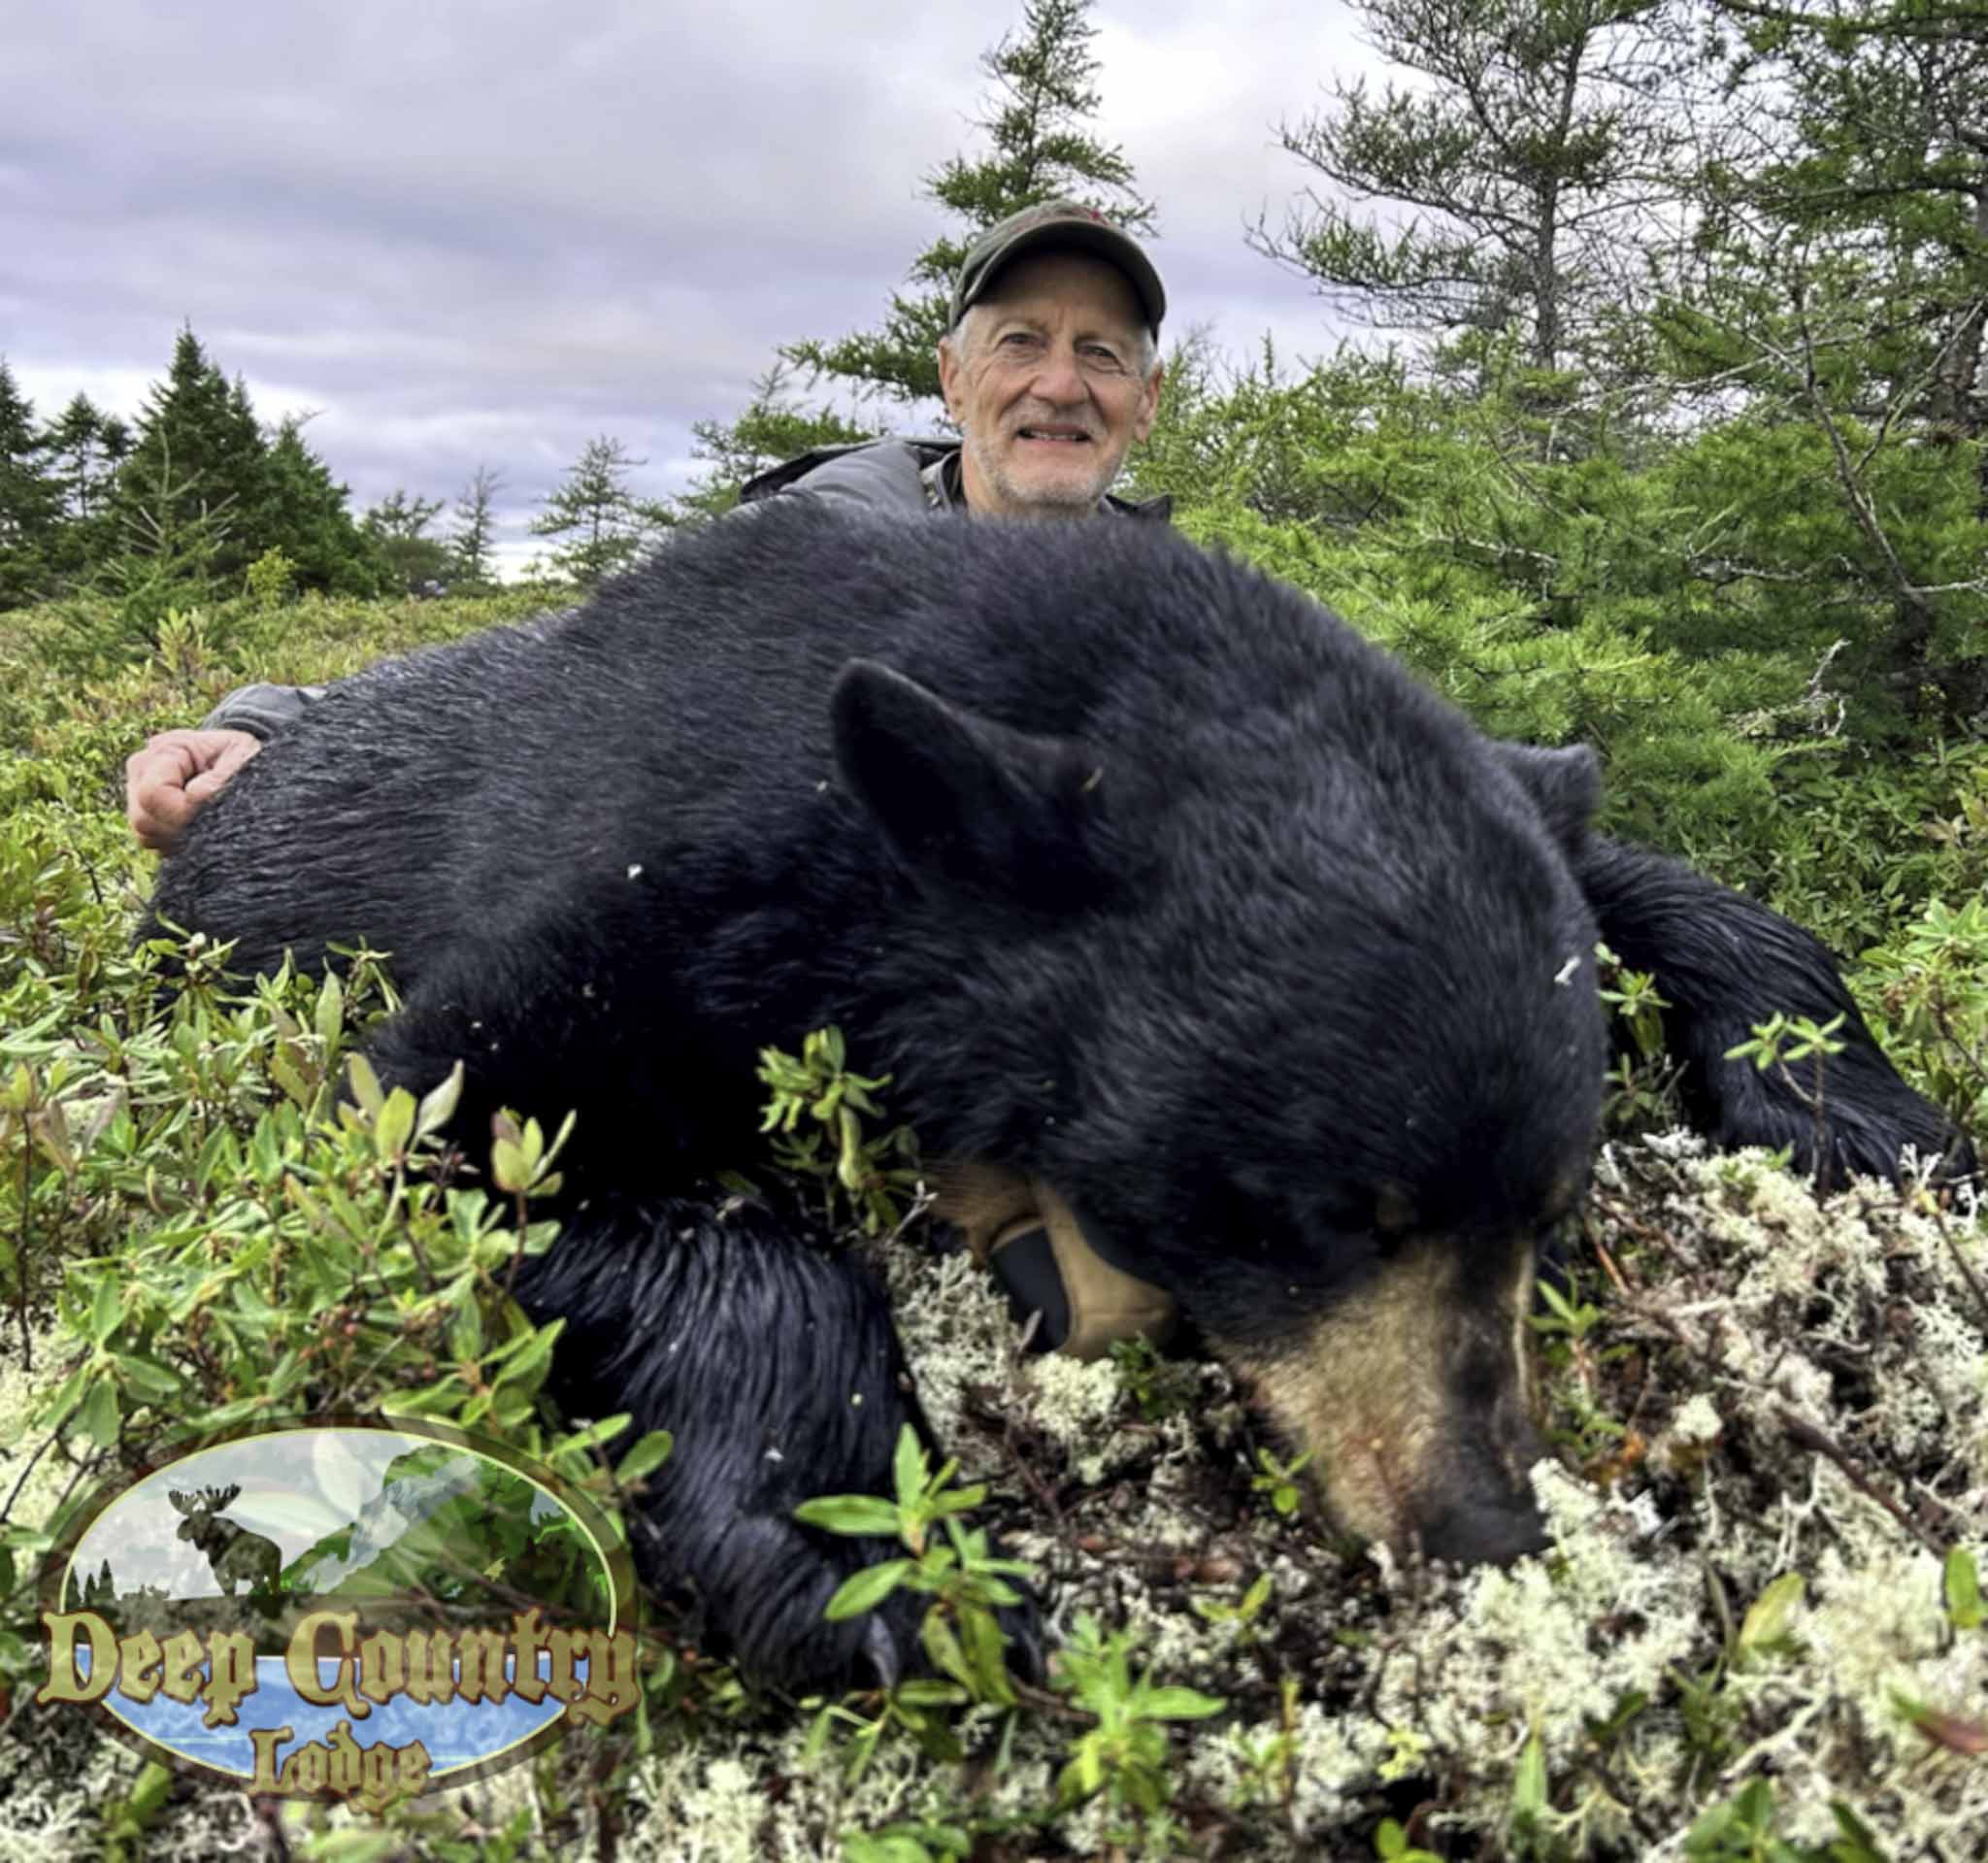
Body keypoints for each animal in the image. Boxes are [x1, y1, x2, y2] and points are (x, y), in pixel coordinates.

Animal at [147, 499, 1969, 1688]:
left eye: (1551, 1204)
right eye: (1324, 1211)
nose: (1480, 1521)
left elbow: (1644, 881)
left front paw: (1860, 1113)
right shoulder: (648, 893)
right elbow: (476, 1123)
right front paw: (859, 1553)